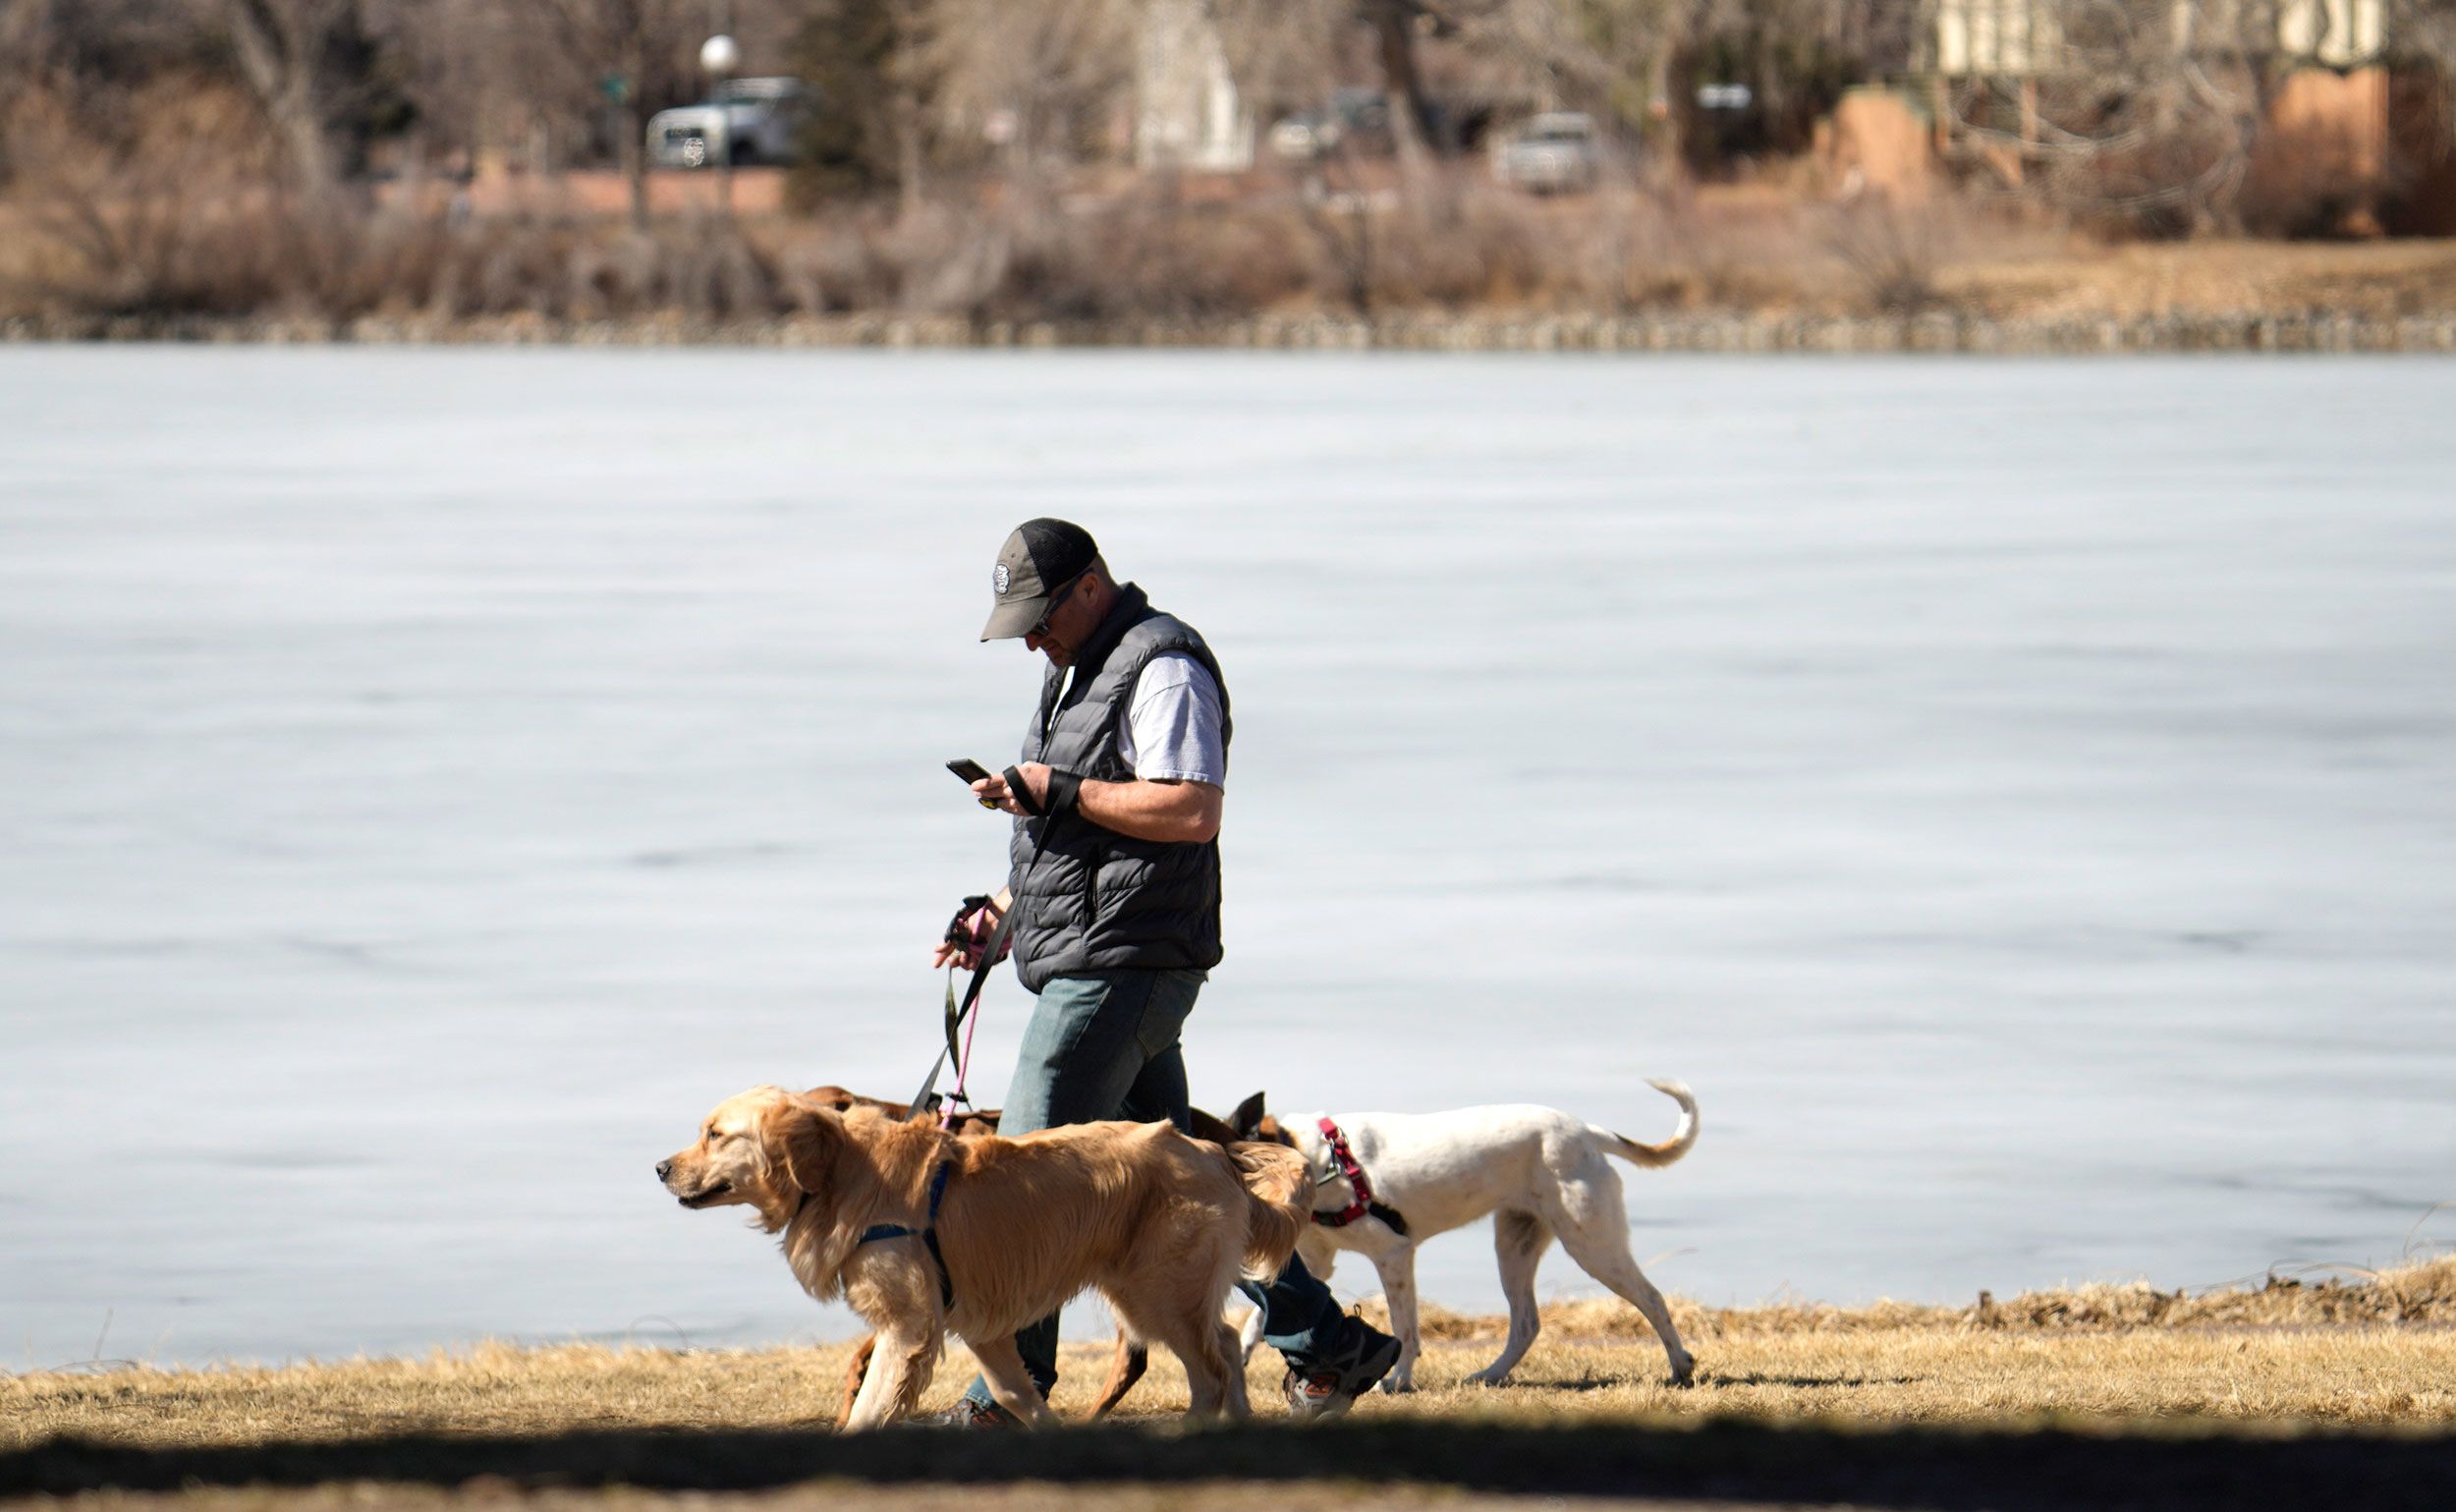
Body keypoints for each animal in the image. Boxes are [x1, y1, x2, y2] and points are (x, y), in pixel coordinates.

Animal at [648, 1085, 1307, 1433]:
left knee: (1211, 1367)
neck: (842, 1175)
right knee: (1227, 1344)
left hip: (1155, 1292)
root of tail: (1214, 1152)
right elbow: (1016, 1393)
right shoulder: (978, 1324)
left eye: (715, 1135)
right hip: (1157, 1290)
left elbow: (869, 1405)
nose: (659, 1167)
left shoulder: (909, 1325)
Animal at [1238, 1075, 1700, 1394]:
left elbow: (1406, 1329)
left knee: (1653, 1299)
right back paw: (1492, 1374)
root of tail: (1586, 1131)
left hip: (1592, 1244)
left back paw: (1680, 1366)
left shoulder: (1394, 1254)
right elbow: (1258, 1321)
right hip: (1515, 1246)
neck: (1319, 1159)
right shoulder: (1313, 1263)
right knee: (1526, 1324)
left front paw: (1399, 1380)